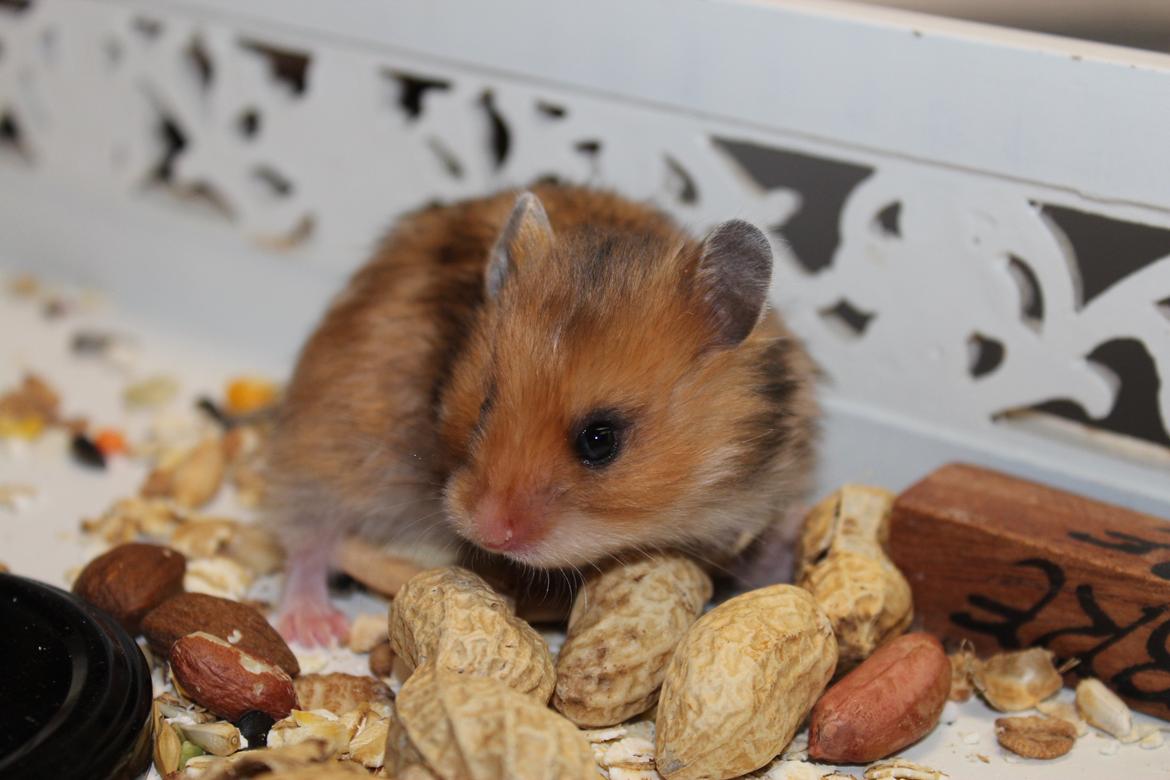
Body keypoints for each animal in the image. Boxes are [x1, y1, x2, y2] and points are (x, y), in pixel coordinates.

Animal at [264, 184, 818, 645]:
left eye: (600, 439)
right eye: (484, 405)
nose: (486, 531)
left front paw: (786, 546)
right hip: (328, 442)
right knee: (308, 537)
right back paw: (313, 628)